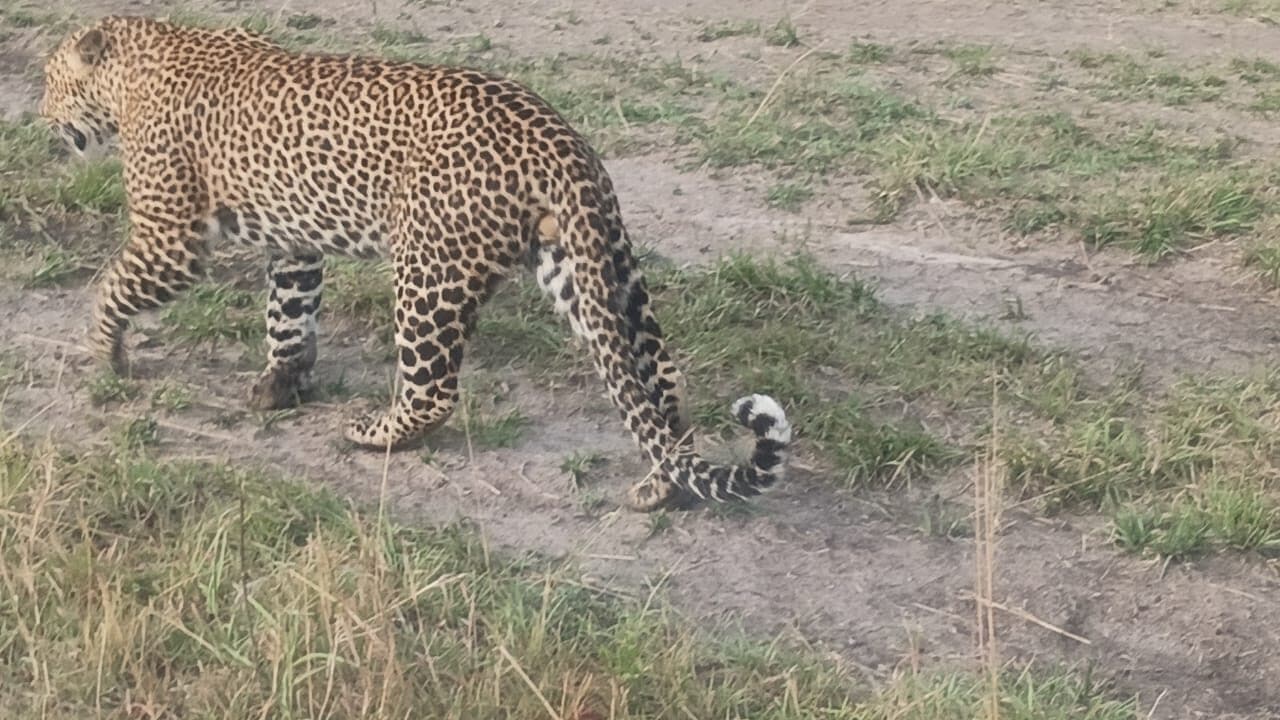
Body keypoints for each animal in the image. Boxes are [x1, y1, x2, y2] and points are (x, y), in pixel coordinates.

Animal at [39, 16, 792, 511]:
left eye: (48, 79)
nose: (41, 117)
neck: (137, 64)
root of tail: (558, 134)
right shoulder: (295, 243)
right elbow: (289, 314)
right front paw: (281, 384)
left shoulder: (171, 237)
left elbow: (113, 287)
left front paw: (104, 350)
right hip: (587, 267)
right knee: (656, 384)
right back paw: (663, 484)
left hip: (430, 267)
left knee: (433, 389)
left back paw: (373, 434)